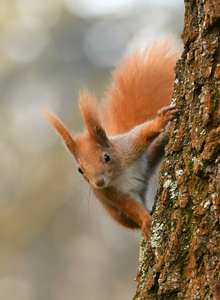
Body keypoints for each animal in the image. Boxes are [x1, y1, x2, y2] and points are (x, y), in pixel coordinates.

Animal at [44, 38, 180, 239]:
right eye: (80, 170)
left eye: (106, 157)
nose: (99, 182)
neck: (119, 174)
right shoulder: (112, 195)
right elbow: (132, 208)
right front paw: (147, 222)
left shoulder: (130, 146)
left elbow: (144, 132)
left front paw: (162, 120)